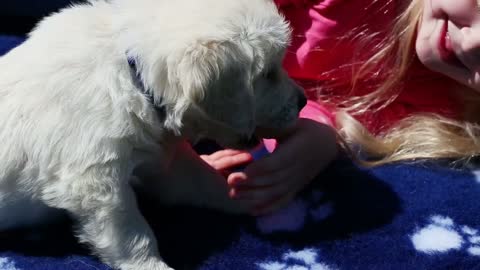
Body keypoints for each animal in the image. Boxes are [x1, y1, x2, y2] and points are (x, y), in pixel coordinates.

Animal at [0, 0, 306, 270]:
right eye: (268, 73)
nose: (303, 101)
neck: (134, 77)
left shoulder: (162, 159)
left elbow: (203, 180)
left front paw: (248, 197)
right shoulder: (96, 180)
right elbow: (131, 232)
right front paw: (149, 264)